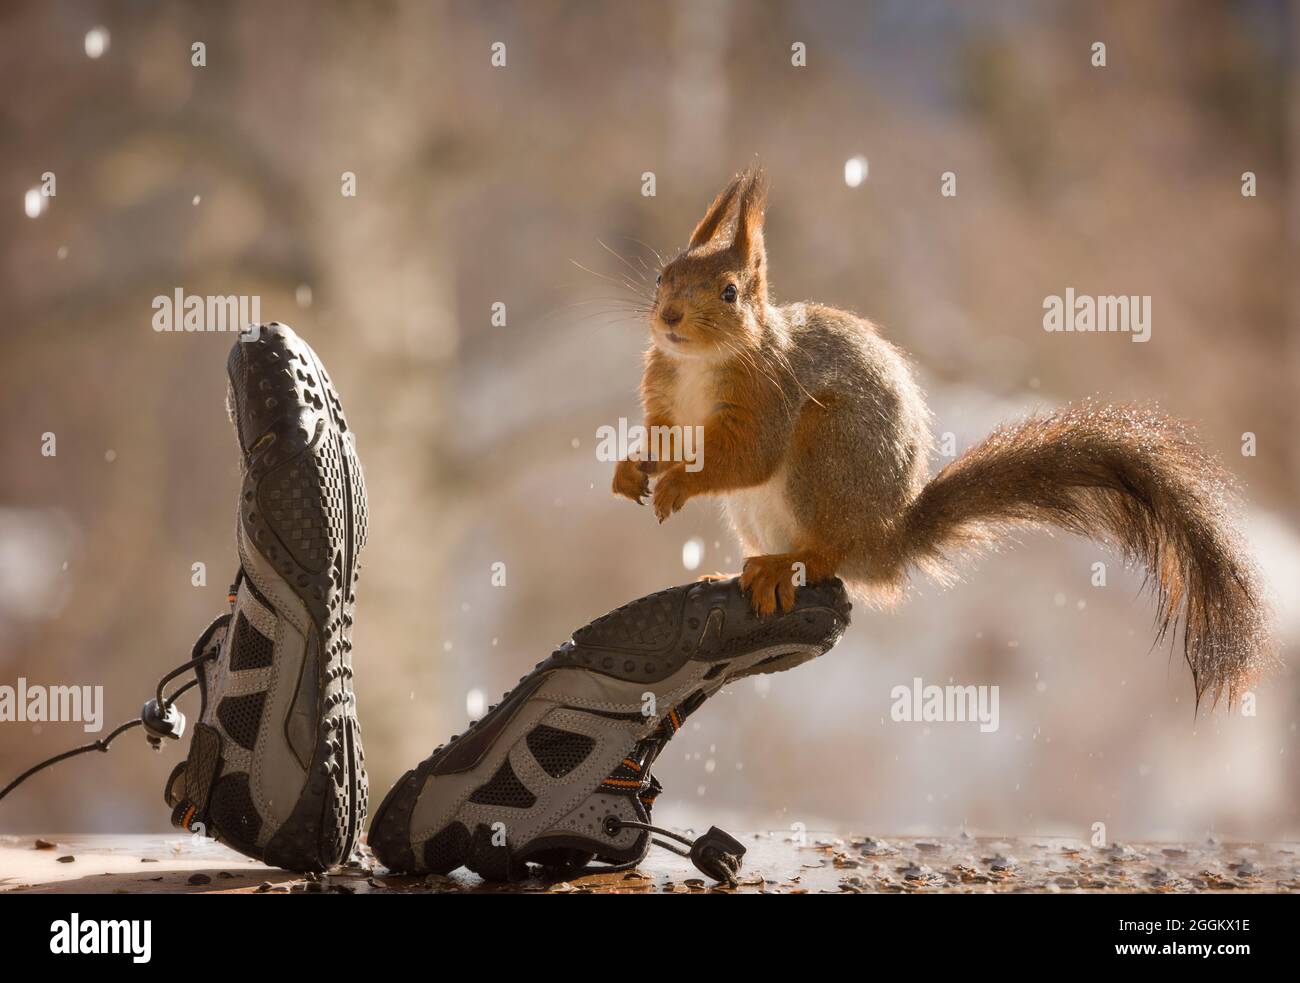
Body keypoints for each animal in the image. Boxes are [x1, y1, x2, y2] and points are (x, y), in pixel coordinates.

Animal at [613, 165, 1274, 702]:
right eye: (664, 275)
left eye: (729, 292)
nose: (669, 317)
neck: (701, 362)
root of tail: (885, 541)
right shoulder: (667, 399)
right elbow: (665, 439)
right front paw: (632, 470)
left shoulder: (770, 397)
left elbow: (746, 457)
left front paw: (676, 486)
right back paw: (730, 572)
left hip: (823, 454)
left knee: (828, 555)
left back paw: (787, 565)